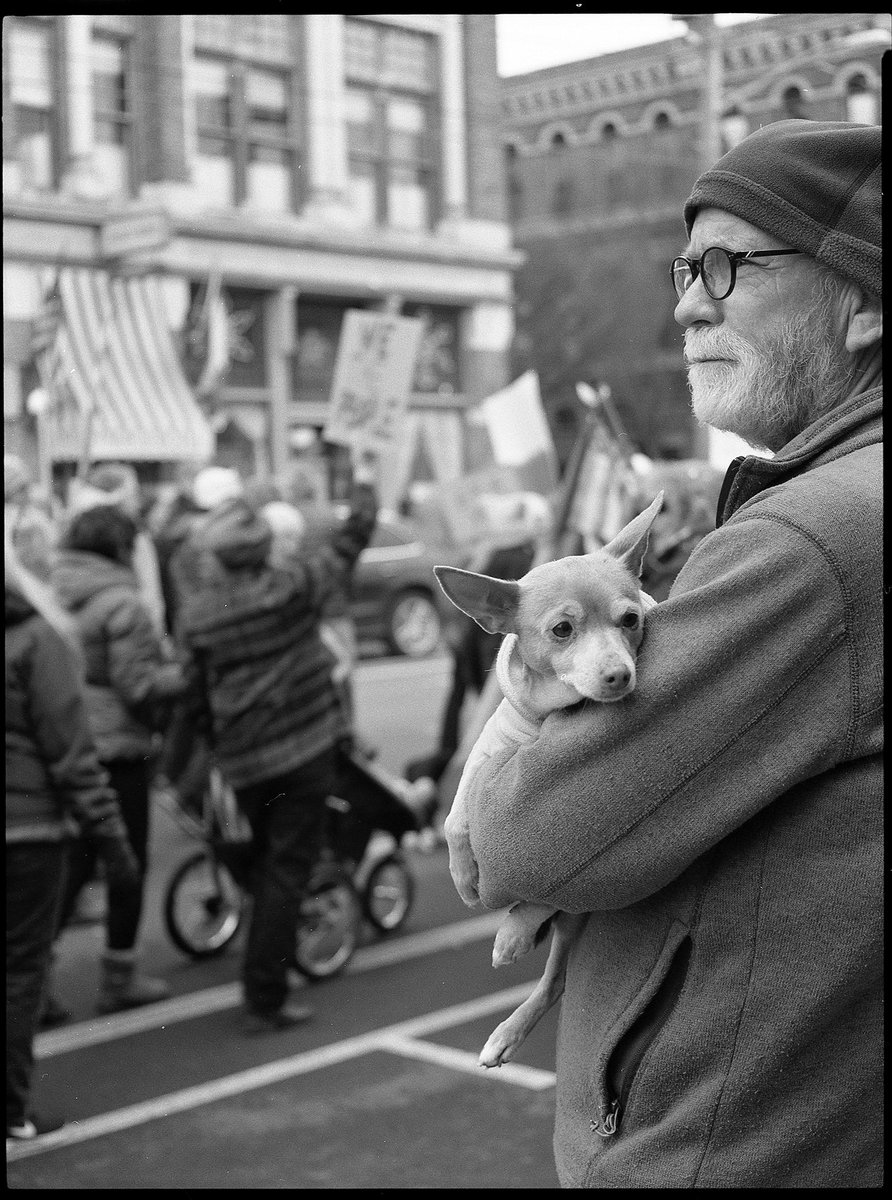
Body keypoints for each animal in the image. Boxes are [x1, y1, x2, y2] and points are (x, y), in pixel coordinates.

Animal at [432, 489, 662, 1070]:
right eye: (562, 630)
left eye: (631, 619)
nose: (619, 675)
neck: (551, 716)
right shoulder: (487, 751)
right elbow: (454, 819)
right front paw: (465, 877)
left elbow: (544, 887)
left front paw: (512, 930)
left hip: (580, 915)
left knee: (555, 972)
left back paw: (508, 1019)